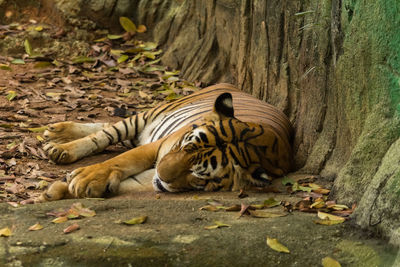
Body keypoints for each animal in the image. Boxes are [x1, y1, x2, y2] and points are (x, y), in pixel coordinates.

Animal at [40, 84, 292, 201]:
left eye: (198, 173)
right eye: (185, 146)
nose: (159, 172)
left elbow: (127, 181)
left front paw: (58, 190)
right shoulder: (159, 145)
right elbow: (120, 160)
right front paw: (83, 179)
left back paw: (55, 135)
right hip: (146, 117)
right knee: (105, 134)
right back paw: (59, 144)